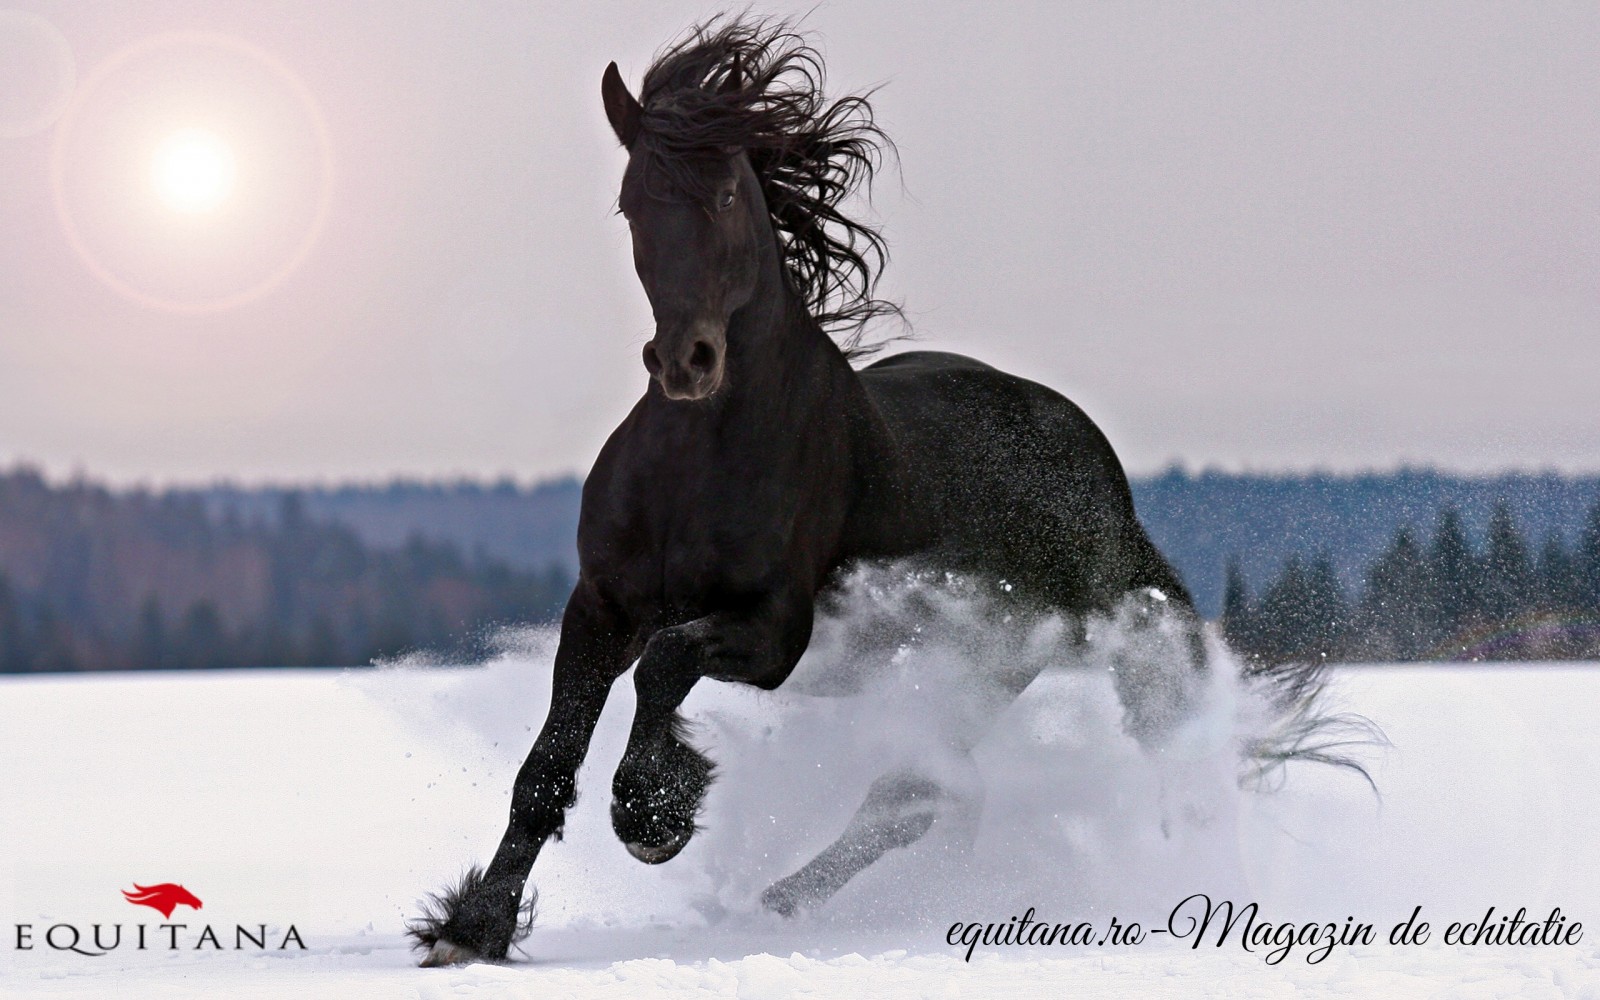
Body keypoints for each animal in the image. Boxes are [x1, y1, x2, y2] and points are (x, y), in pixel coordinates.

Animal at [412, 17, 1209, 966]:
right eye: (631, 204)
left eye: (725, 195)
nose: (686, 362)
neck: (699, 459)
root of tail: (1105, 484)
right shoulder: (601, 606)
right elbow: (546, 766)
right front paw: (472, 928)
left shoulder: (775, 629)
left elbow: (667, 663)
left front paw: (654, 813)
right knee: (923, 794)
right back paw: (777, 903)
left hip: (987, 664)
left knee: (913, 794)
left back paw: (774, 904)